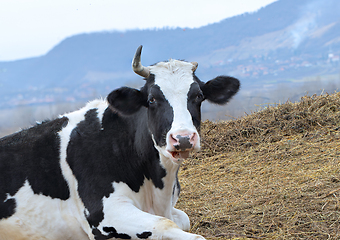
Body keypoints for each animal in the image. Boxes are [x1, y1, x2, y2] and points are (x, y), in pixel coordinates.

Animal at [0, 46, 240, 239]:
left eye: (198, 96)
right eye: (152, 99)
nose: (182, 138)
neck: (156, 188)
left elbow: (182, 219)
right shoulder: (103, 214)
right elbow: (167, 226)